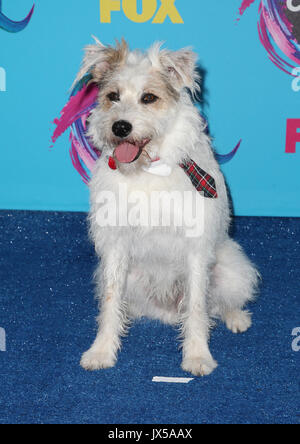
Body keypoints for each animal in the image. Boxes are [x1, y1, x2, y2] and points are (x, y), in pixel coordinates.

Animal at [75, 40, 258, 376]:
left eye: (149, 97)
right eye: (112, 96)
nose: (120, 127)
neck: (147, 171)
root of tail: (169, 309)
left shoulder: (196, 250)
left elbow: (197, 307)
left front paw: (197, 355)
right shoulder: (115, 246)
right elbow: (110, 302)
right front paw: (102, 350)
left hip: (232, 269)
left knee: (216, 304)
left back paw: (236, 316)